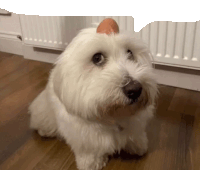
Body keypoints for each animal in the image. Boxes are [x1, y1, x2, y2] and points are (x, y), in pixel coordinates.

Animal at [29, 18, 158, 170]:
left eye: (130, 53)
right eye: (97, 58)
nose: (135, 89)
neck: (113, 114)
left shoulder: (135, 123)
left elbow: (136, 135)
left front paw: (138, 145)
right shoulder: (84, 135)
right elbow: (89, 151)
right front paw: (90, 163)